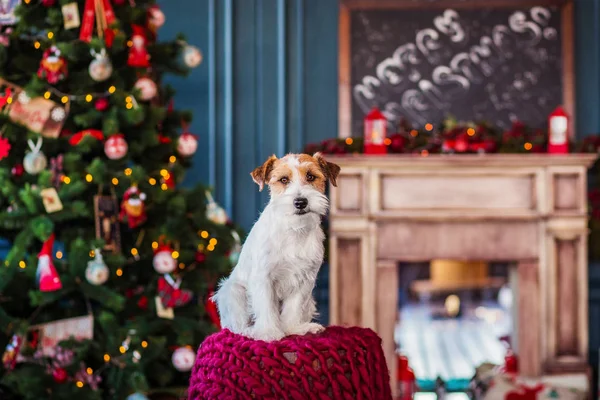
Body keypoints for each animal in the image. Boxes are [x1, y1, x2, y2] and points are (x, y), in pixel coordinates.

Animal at [213, 152, 340, 340]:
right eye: (284, 179)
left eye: (310, 176)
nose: (300, 202)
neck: (294, 229)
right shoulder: (263, 278)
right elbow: (266, 307)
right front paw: (268, 332)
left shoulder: (304, 279)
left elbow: (294, 308)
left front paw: (292, 329)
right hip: (233, 292)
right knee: (236, 326)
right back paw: (251, 330)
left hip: (310, 301)